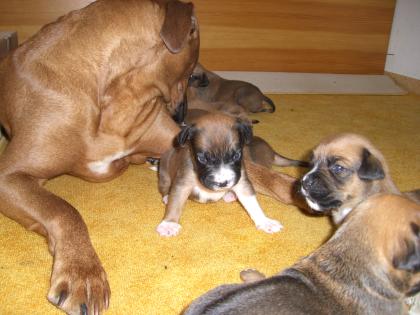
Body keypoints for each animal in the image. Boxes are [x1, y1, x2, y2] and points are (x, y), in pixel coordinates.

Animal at [0, 0, 302, 314]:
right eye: (190, 70)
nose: (181, 117)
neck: (119, 95)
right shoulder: (10, 177)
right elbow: (63, 209)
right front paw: (81, 271)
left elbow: (258, 172)